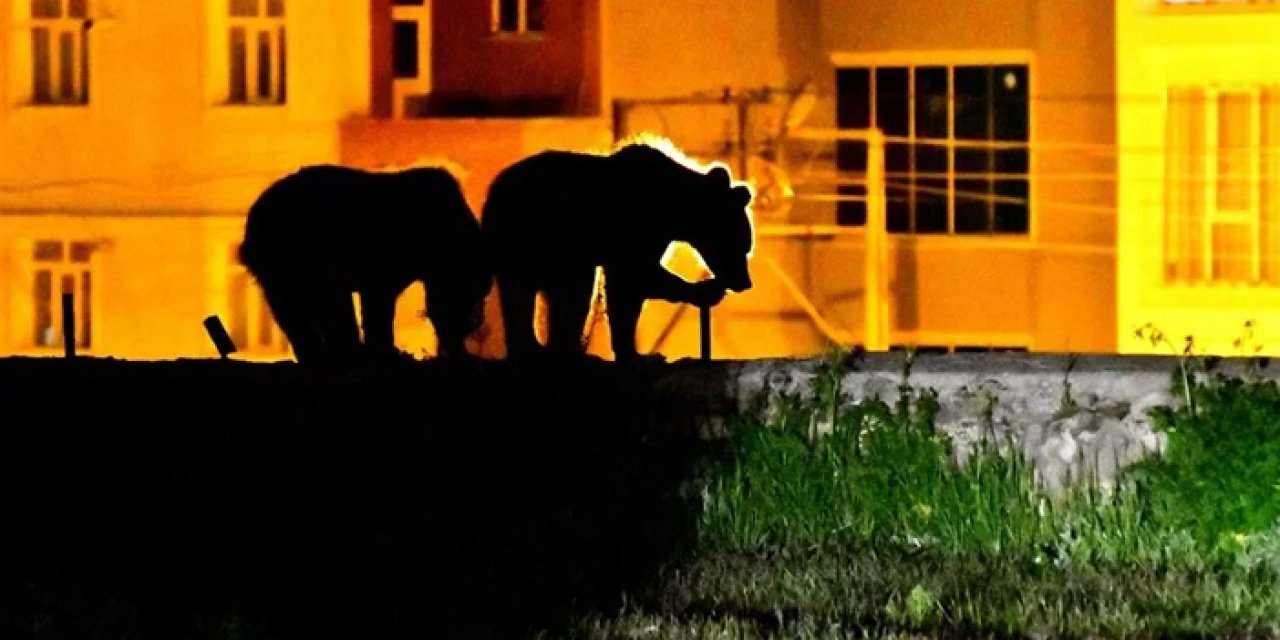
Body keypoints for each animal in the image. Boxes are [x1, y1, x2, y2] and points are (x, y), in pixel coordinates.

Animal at [235, 162, 488, 368]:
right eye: (471, 304)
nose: (460, 345)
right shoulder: (386, 261)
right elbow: (378, 305)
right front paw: (386, 353)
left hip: (281, 264)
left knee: (291, 309)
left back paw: (320, 355)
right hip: (301, 249)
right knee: (325, 301)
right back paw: (345, 353)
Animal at [481, 136, 757, 363]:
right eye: (742, 245)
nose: (745, 282)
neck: (673, 207)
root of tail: (493, 197)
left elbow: (627, 292)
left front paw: (633, 352)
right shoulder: (631, 226)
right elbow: (633, 275)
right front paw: (704, 290)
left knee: (523, 294)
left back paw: (537, 349)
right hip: (542, 238)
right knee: (569, 289)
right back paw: (562, 352)